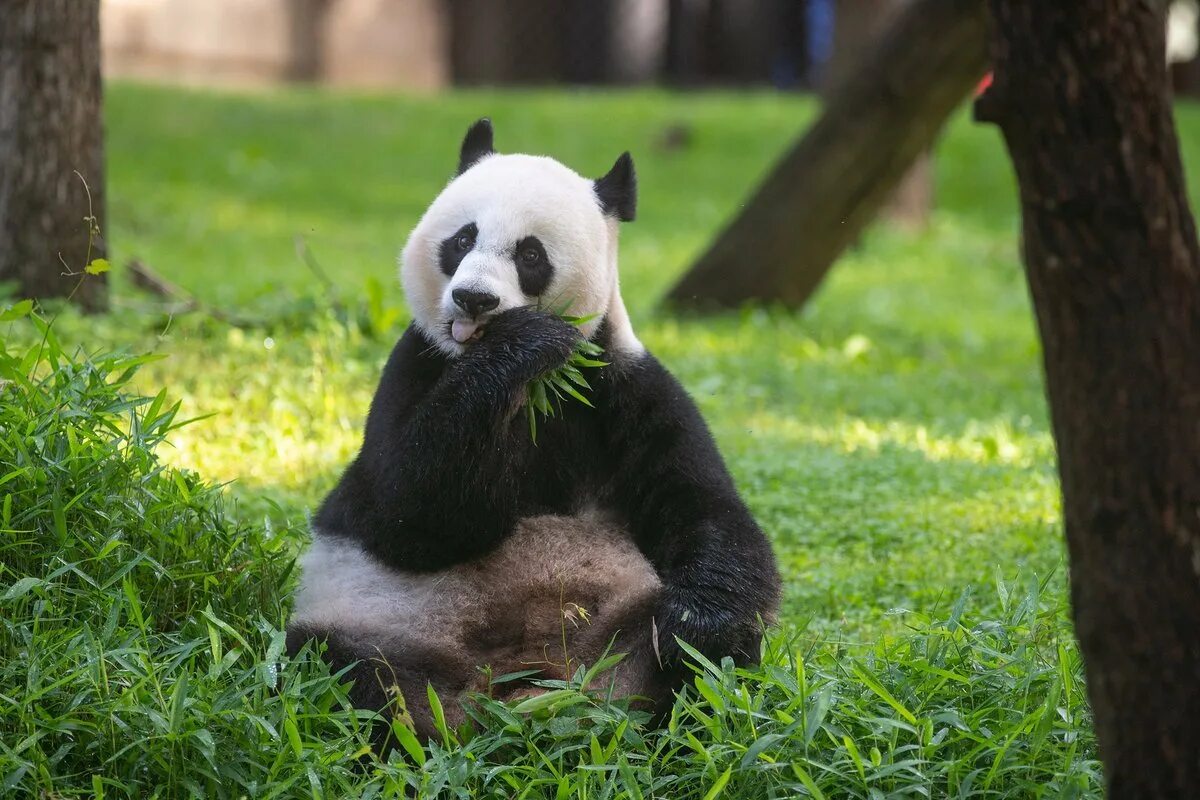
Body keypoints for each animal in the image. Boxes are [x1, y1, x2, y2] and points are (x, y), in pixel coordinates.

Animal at [286, 117, 782, 738]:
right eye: (461, 240)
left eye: (529, 254)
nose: (474, 298)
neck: (537, 389)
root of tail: (518, 685)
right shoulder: (416, 367)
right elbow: (406, 511)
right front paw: (524, 342)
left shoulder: (624, 386)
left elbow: (704, 508)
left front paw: (697, 626)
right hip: (376, 624)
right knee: (347, 674)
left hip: (618, 632)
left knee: (689, 672)